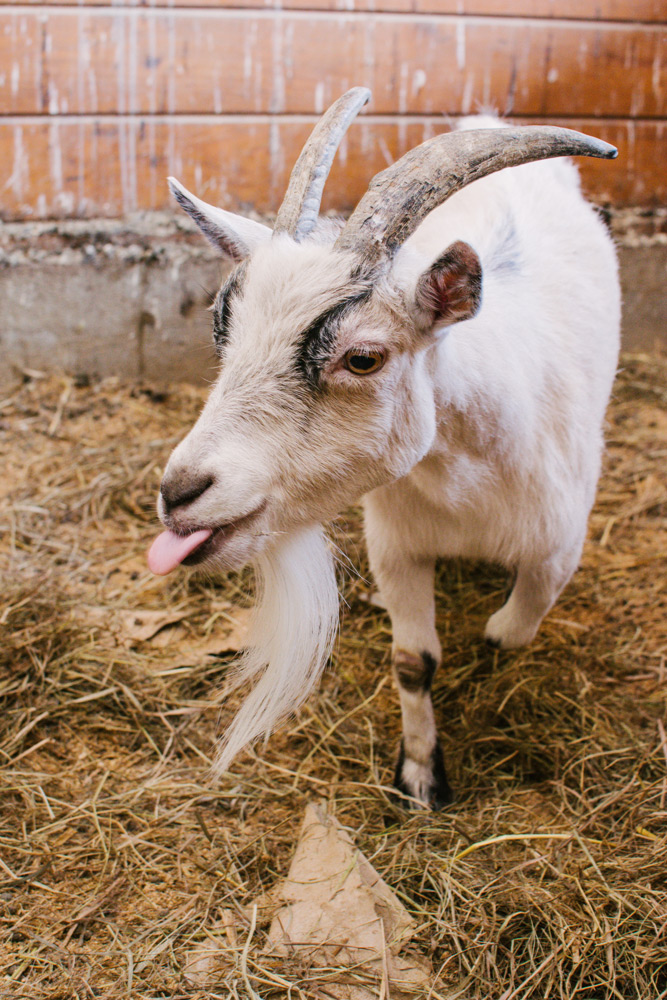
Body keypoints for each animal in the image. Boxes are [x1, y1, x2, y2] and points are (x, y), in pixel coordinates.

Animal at [147, 88, 620, 808]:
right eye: (221, 329)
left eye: (363, 357)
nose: (180, 494)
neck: (466, 481)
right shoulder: (398, 545)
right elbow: (412, 661)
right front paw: (421, 776)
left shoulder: (557, 547)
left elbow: (511, 632)